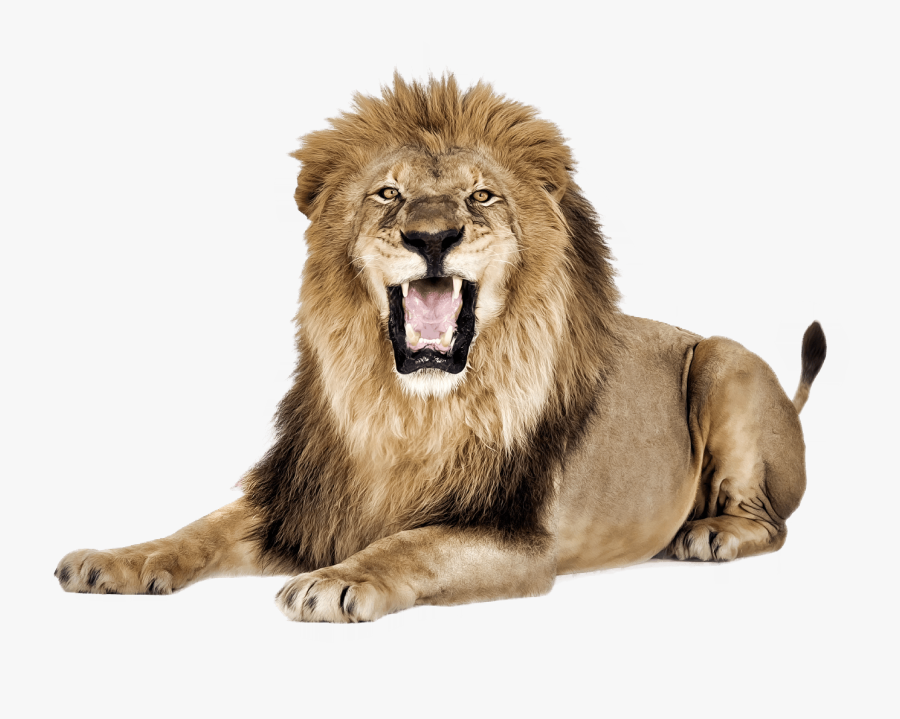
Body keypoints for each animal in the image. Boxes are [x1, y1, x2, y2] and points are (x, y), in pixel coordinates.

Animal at [55, 75, 826, 622]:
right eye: (387, 194)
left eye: (481, 196)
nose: (431, 237)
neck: (407, 410)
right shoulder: (303, 500)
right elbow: (198, 528)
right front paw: (112, 560)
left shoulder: (517, 537)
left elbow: (412, 541)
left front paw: (337, 579)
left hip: (724, 360)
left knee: (774, 522)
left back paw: (709, 533)